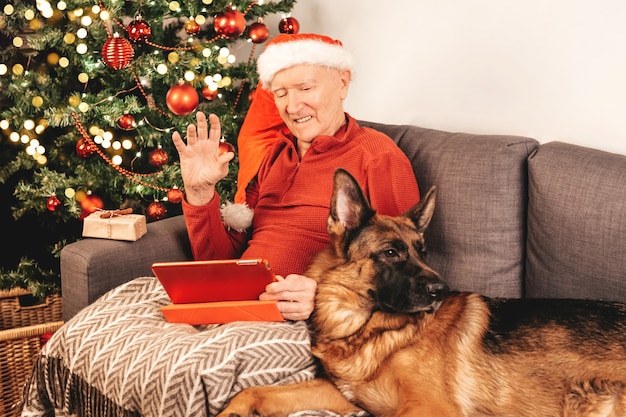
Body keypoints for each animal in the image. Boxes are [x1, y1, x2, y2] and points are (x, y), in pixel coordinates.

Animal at [218, 167, 624, 414]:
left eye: (422, 251)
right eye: (391, 253)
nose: (443, 291)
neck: (364, 327)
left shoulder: (428, 408)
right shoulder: (344, 394)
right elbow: (254, 392)